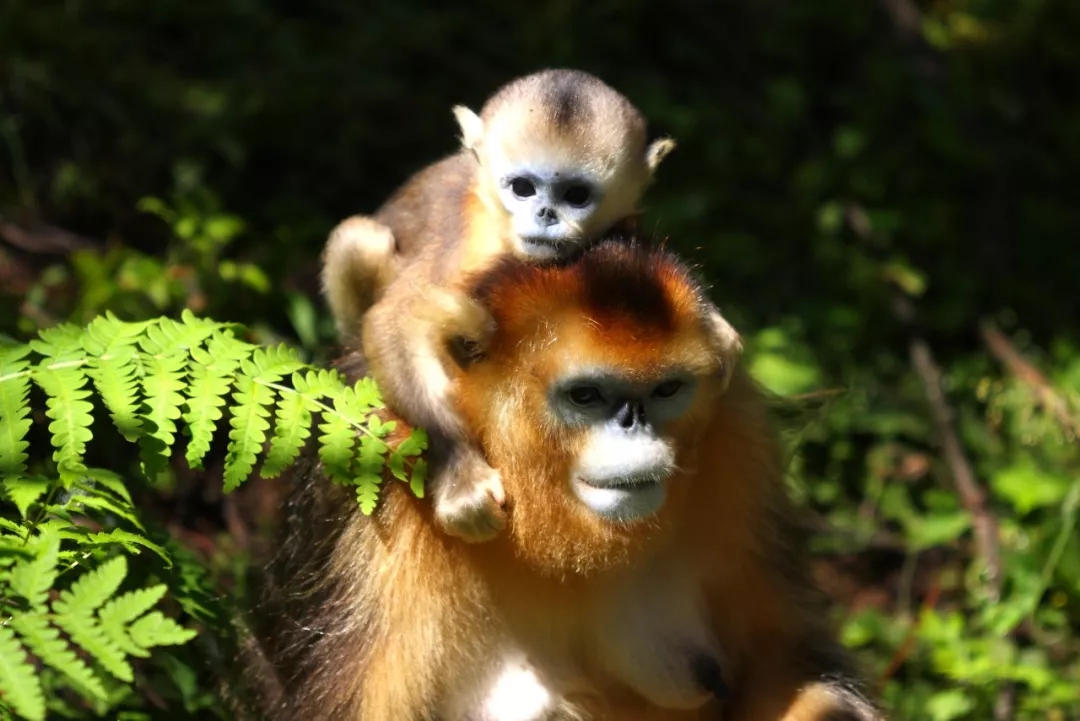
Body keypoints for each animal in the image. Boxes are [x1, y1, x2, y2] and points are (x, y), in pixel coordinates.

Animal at [319, 70, 673, 539]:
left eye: (577, 195)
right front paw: (461, 477)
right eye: (522, 188)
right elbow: (395, 319)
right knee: (361, 237)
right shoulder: (461, 240)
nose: (545, 215)